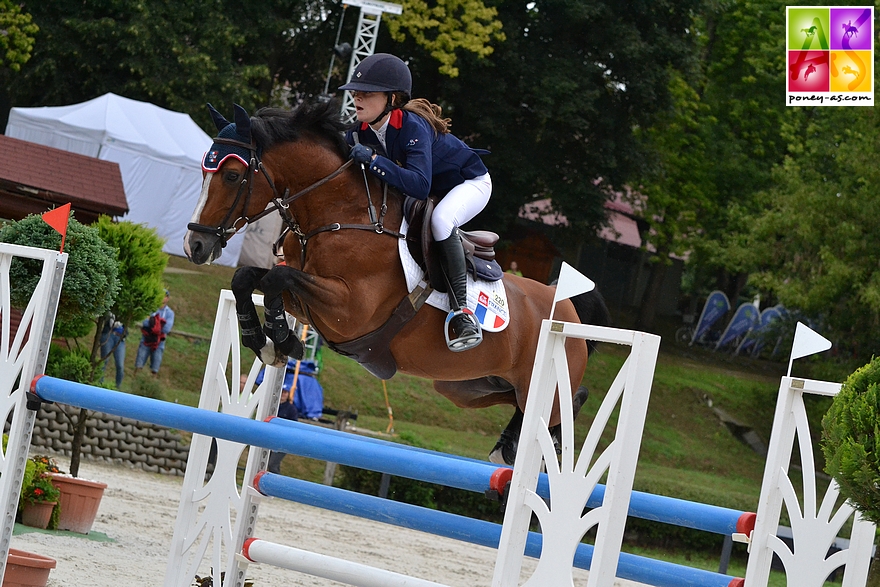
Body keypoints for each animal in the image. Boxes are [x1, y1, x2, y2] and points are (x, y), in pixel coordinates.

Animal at [184, 102, 612, 468]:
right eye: (204, 173)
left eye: (233, 175)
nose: (195, 245)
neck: (341, 214)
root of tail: (568, 309)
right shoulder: (310, 302)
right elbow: (249, 278)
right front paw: (268, 341)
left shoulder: (349, 310)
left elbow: (277, 277)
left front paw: (281, 341)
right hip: (465, 386)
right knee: (528, 402)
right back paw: (506, 446)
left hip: (540, 380)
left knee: (563, 403)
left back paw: (531, 445)